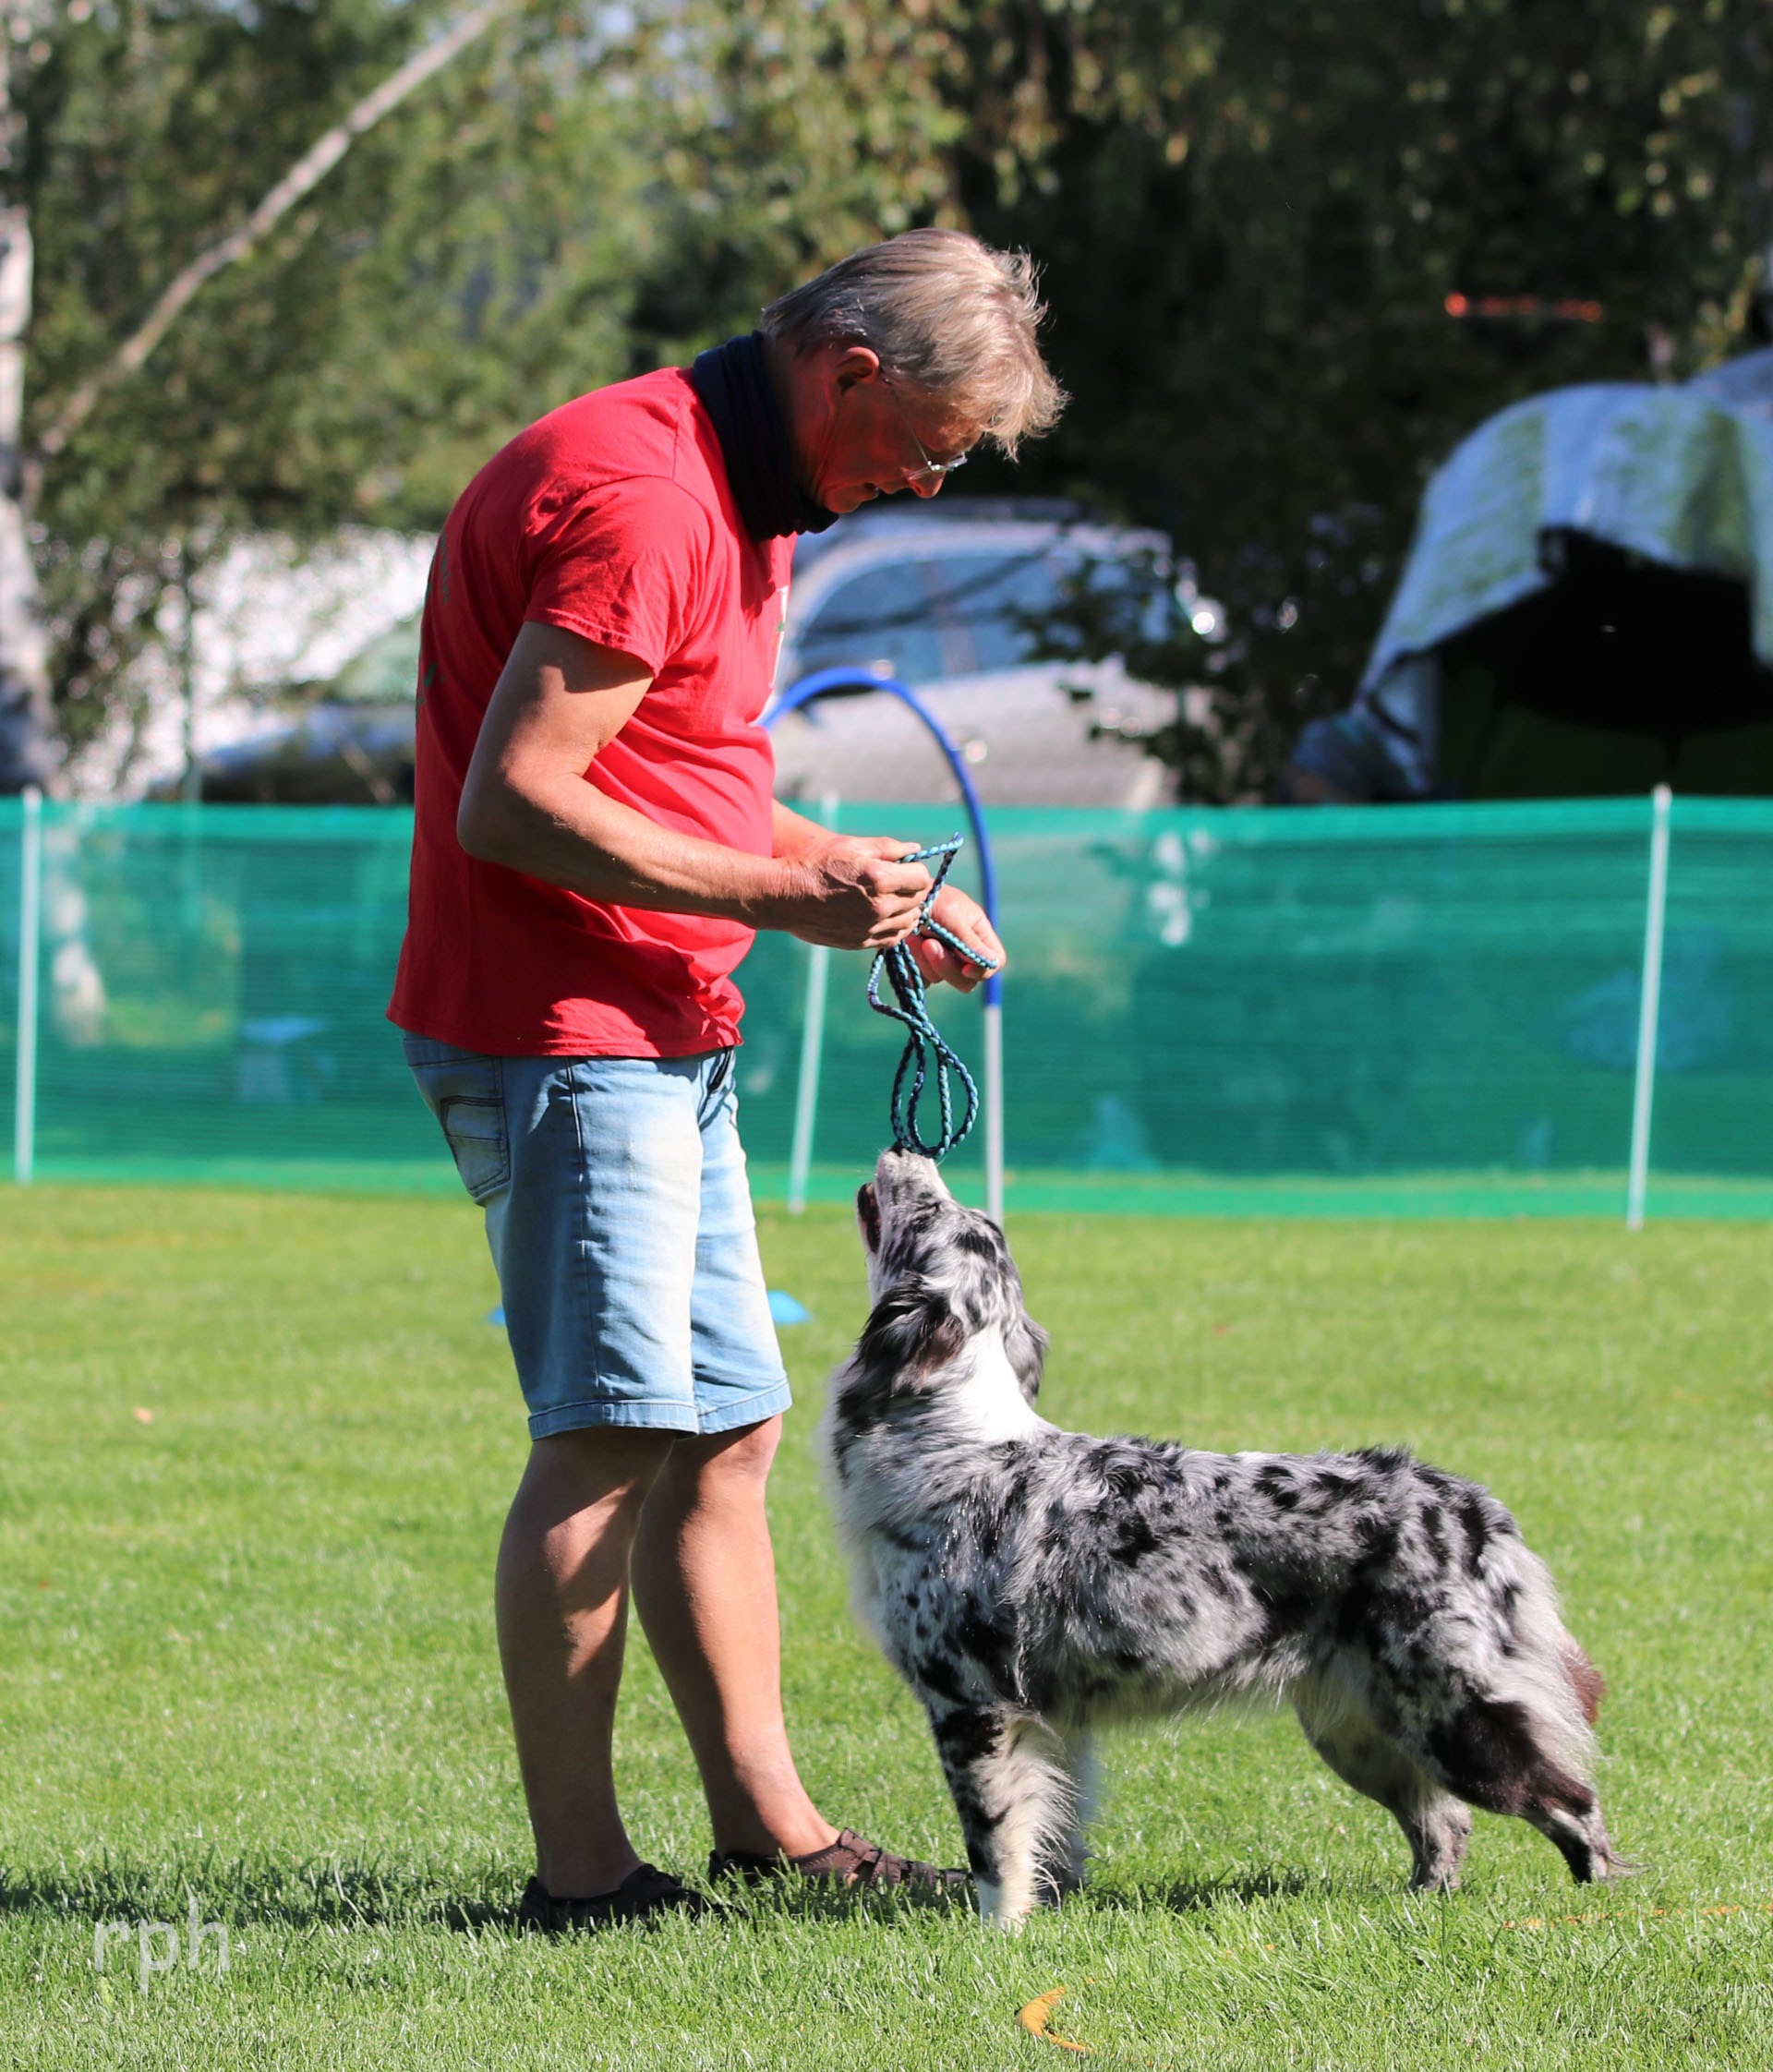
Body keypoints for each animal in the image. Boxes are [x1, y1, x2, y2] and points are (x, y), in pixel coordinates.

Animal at [819, 1148, 1628, 1928]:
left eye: (928, 1207)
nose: (907, 1145)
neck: (953, 1432)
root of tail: (1472, 1506)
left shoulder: (973, 1704)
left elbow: (995, 1846)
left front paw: (1000, 1937)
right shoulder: (1054, 1722)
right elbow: (1055, 1833)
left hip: (1456, 1715)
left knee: (1572, 1804)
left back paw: (1602, 1908)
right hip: (1361, 1730)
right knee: (1446, 1822)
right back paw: (1423, 1903)